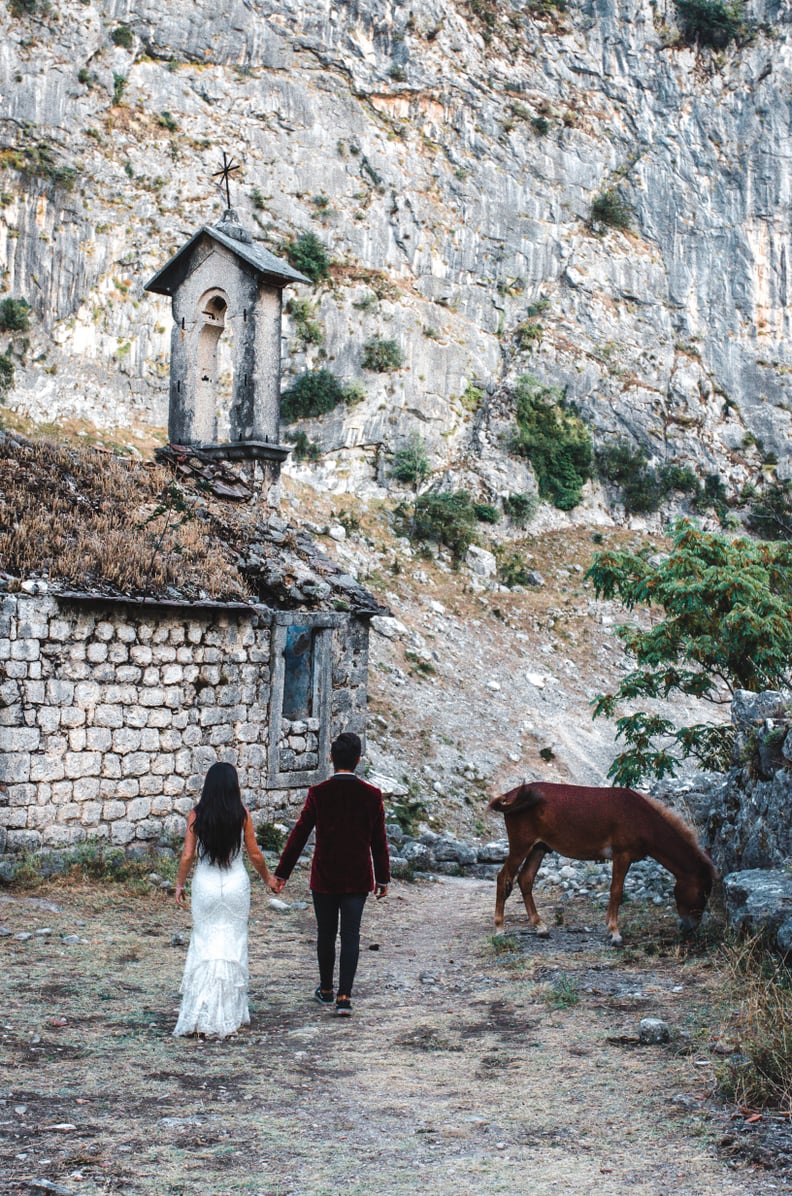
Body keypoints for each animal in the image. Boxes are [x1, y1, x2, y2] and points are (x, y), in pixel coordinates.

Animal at [492, 779, 717, 947]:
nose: (690, 927)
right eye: (701, 893)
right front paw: (615, 933)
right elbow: (616, 891)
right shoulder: (621, 855)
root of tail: (509, 796)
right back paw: (499, 929)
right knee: (503, 877)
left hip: (538, 848)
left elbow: (615, 891)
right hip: (521, 846)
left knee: (525, 879)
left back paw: (540, 927)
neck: (642, 819)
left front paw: (610, 928)